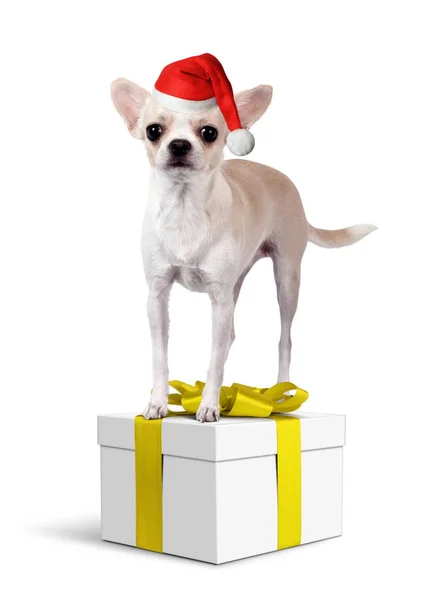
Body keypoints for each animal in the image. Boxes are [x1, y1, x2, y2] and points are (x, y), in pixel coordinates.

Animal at [111, 55, 376, 422]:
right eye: (153, 131)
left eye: (209, 133)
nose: (179, 144)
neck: (185, 209)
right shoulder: (158, 295)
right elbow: (161, 356)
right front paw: (159, 402)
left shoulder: (219, 299)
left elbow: (214, 359)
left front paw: (208, 404)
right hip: (236, 282)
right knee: (230, 336)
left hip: (287, 279)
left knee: (283, 338)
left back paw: (283, 390)